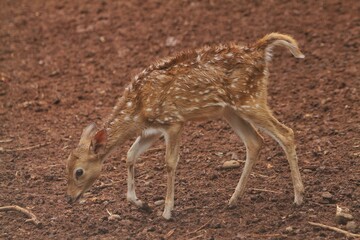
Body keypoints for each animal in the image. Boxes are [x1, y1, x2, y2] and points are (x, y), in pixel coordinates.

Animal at [66, 32, 306, 220]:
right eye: (66, 166)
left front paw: (167, 211)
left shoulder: (173, 121)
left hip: (251, 100)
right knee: (255, 141)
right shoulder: (151, 130)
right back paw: (233, 199)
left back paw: (299, 197)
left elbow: (169, 162)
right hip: (231, 110)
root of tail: (260, 51)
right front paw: (141, 204)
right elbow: (130, 155)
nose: (69, 198)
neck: (139, 108)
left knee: (286, 133)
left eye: (79, 171)